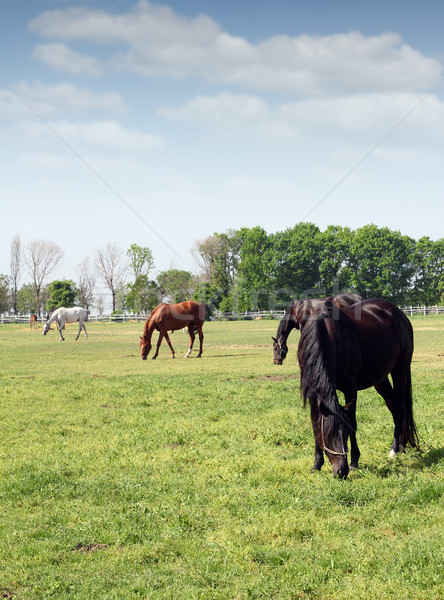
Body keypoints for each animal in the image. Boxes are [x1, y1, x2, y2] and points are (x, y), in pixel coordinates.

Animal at [296, 298, 418, 478]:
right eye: (329, 435)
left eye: (345, 434)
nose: (341, 471)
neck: (325, 336)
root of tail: (399, 313)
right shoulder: (313, 393)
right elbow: (316, 424)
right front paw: (316, 464)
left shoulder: (350, 388)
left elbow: (353, 421)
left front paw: (354, 461)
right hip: (380, 379)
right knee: (395, 407)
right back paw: (399, 447)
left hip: (400, 370)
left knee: (401, 409)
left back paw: (396, 449)